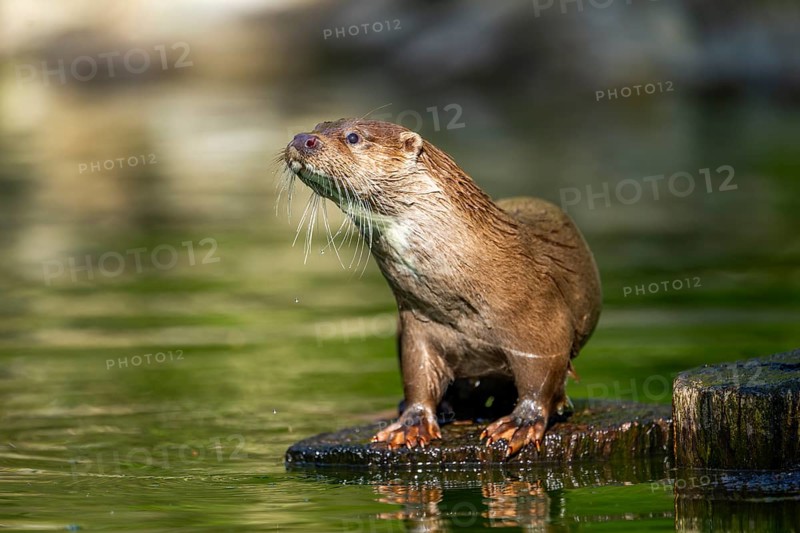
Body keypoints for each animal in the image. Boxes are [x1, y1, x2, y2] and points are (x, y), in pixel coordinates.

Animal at [283, 119, 601, 457]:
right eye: (319, 126)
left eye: (353, 137)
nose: (302, 138)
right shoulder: (417, 326)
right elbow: (417, 376)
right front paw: (411, 424)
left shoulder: (541, 321)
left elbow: (540, 377)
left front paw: (520, 424)